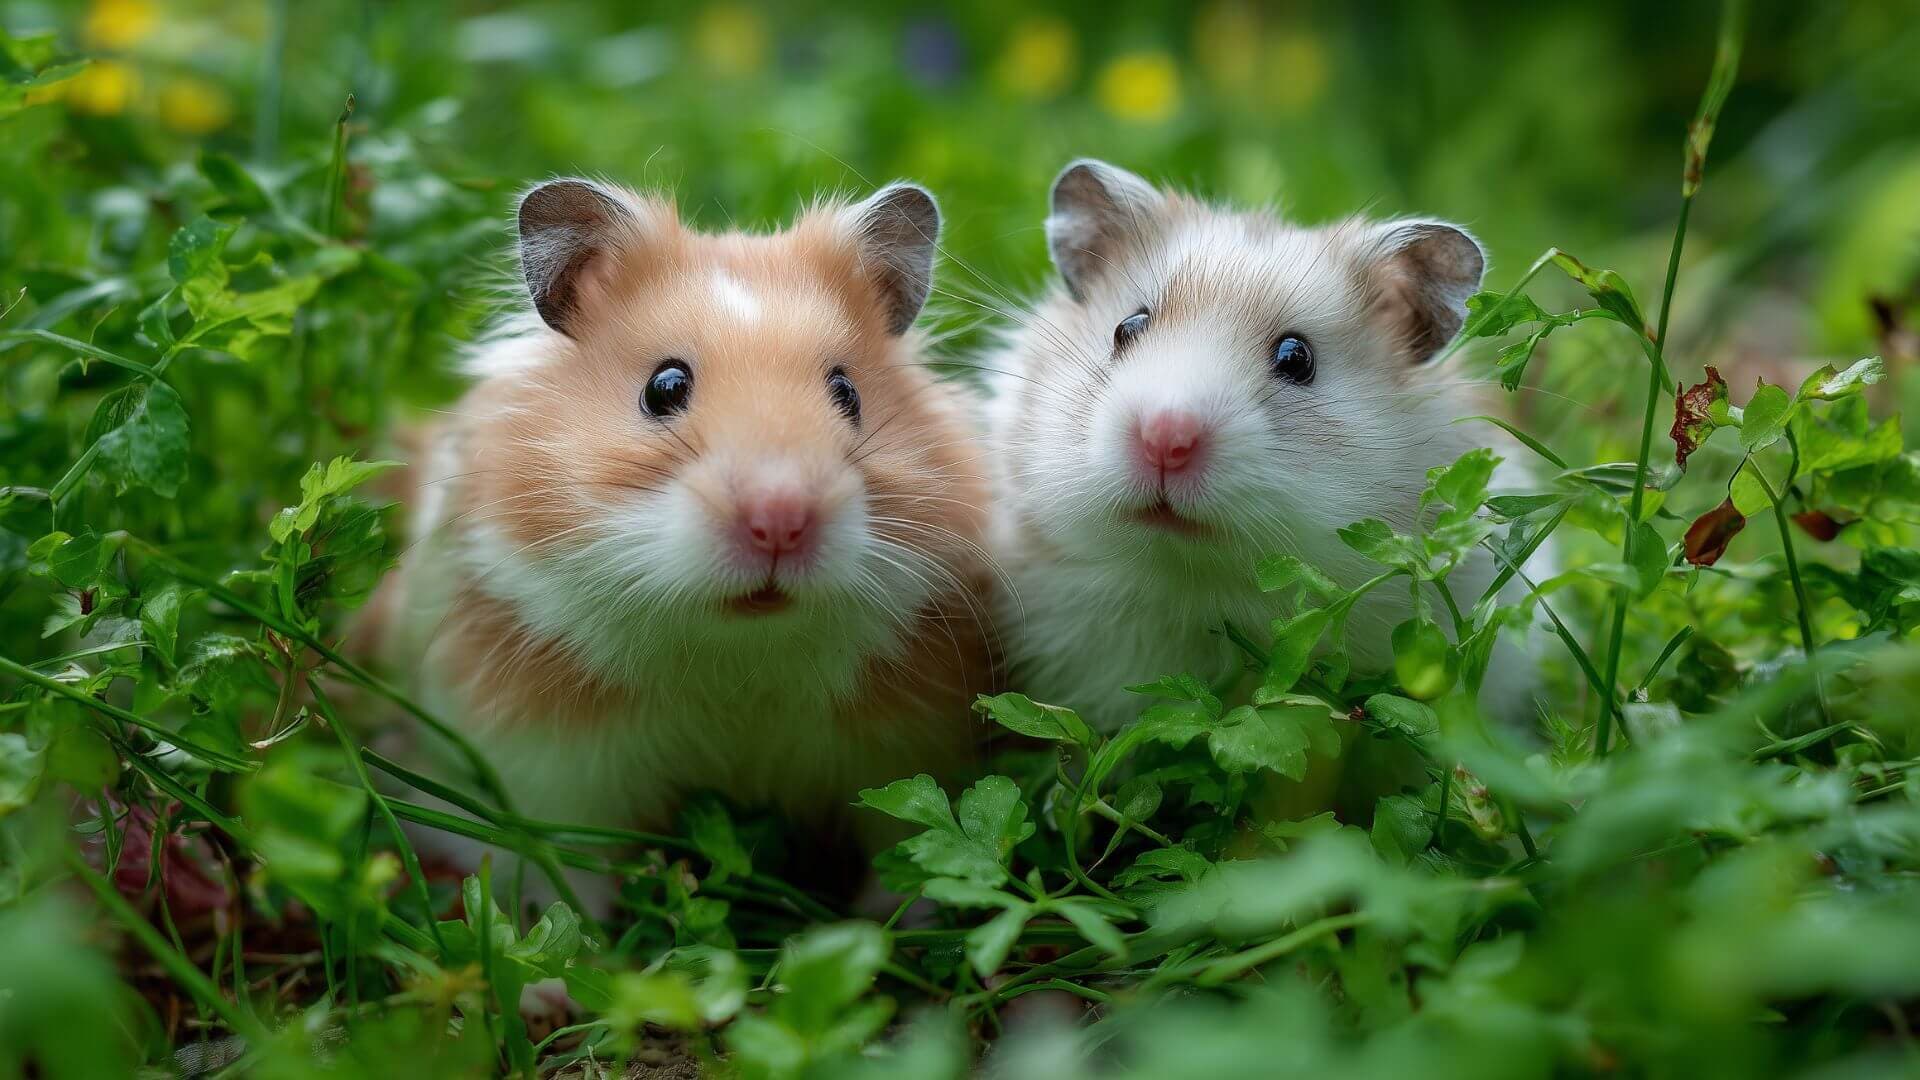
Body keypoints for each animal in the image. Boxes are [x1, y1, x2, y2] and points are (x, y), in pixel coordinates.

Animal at [383, 177, 995, 906]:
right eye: (664, 387)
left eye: (848, 393)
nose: (780, 520)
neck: (734, 652)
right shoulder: (543, 772)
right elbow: (566, 874)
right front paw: (579, 940)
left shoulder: (905, 746)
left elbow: (905, 851)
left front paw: (891, 922)